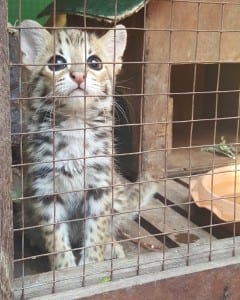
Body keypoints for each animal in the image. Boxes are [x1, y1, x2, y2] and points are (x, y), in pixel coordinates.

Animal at [19, 21, 158, 270]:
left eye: (94, 62)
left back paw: (111, 246)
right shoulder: (44, 186)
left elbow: (96, 232)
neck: (75, 123)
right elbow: (55, 237)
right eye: (56, 62)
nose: (79, 76)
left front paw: (92, 264)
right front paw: (65, 270)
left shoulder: (100, 184)